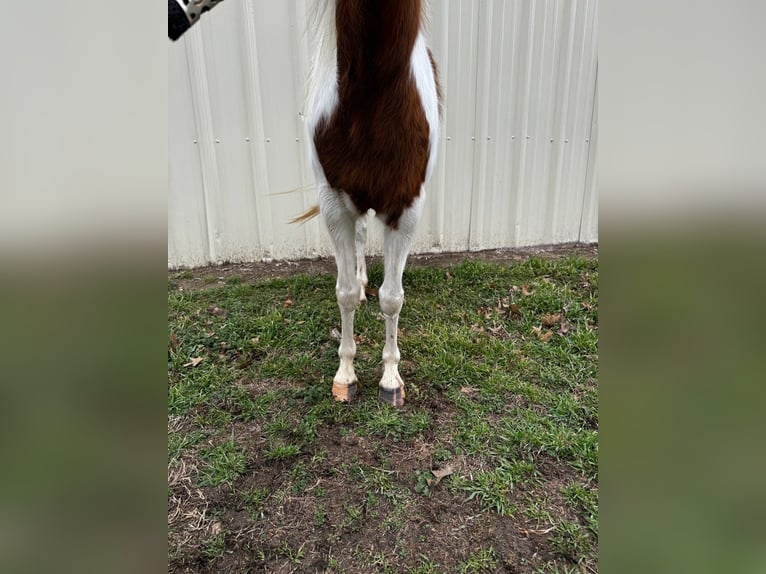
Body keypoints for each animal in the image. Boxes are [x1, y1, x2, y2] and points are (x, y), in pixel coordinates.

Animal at [304, 0, 440, 408]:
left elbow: (392, 299)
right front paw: (345, 375)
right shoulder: (334, 205)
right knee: (361, 237)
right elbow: (345, 293)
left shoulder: (406, 209)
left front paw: (391, 380)